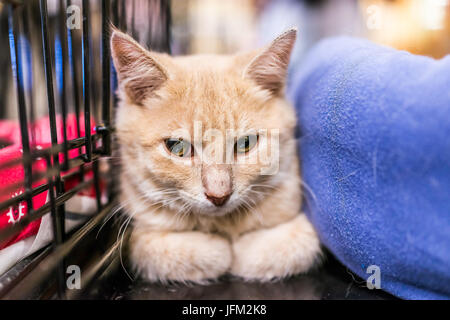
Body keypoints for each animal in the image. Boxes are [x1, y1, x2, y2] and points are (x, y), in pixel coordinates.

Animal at [110, 27, 320, 282]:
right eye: (177, 147)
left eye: (246, 143)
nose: (219, 195)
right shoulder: (138, 230)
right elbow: (160, 249)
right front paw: (217, 250)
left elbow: (291, 245)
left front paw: (242, 251)